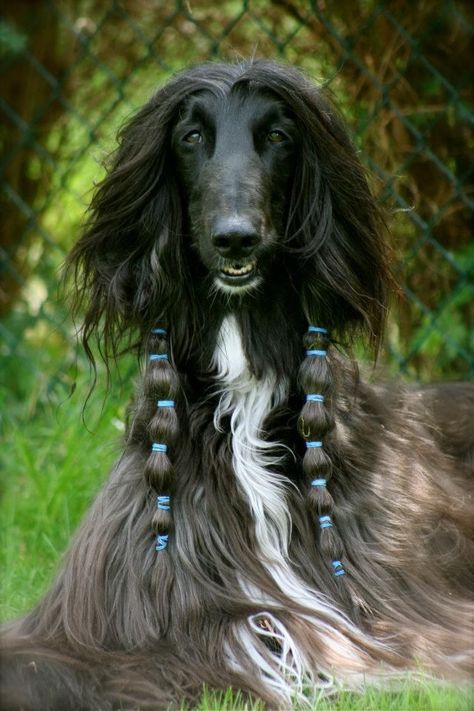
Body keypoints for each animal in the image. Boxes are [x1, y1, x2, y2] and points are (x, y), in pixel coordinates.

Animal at [1, 61, 472, 711]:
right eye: (191, 136)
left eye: (277, 135)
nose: (235, 238)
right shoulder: (110, 607)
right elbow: (43, 664)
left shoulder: (400, 609)